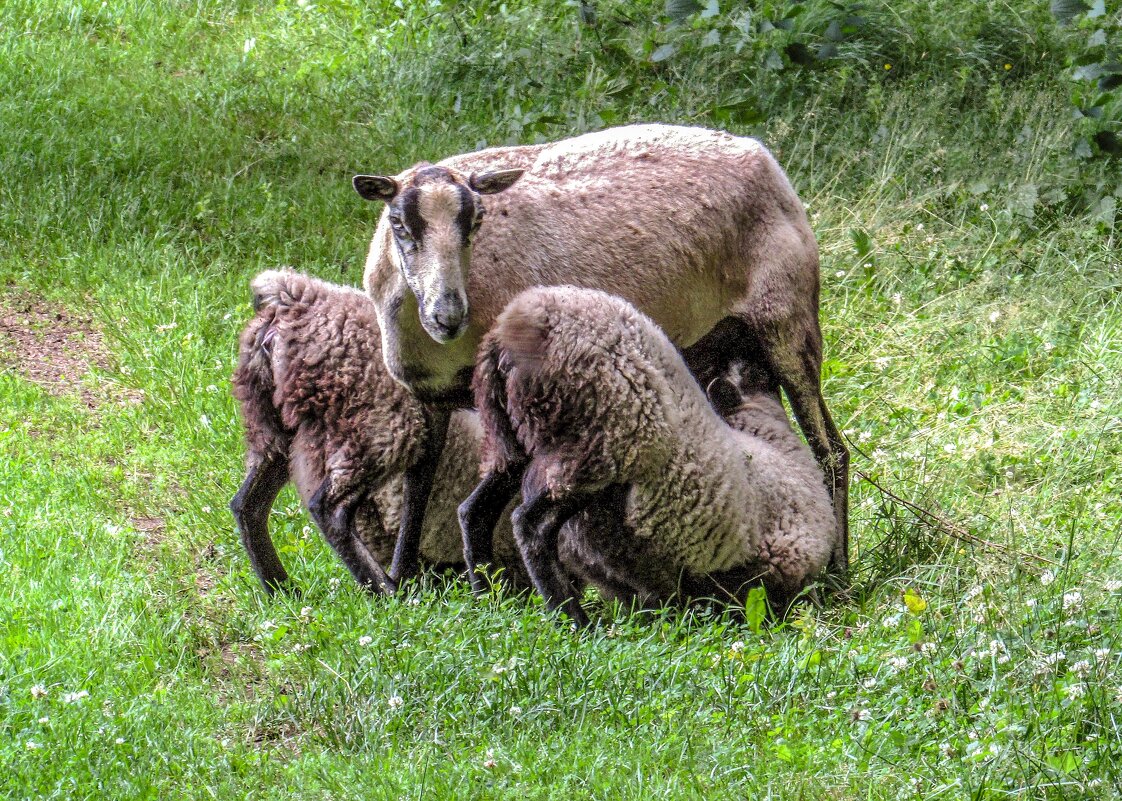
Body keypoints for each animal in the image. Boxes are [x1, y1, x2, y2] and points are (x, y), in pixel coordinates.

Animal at [230, 268, 527, 592]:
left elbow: (421, 488)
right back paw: (386, 591)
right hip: (381, 426)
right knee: (328, 508)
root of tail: (295, 298)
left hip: (271, 429)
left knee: (247, 505)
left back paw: (283, 590)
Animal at [354, 120, 843, 578]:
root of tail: (759, 155)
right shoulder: (428, 397)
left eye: (475, 223)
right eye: (399, 224)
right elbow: (417, 489)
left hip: (787, 320)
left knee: (832, 450)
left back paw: (837, 574)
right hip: (716, 345)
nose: (448, 314)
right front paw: (401, 579)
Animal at [460, 284, 839, 623]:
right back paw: (574, 621)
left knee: (474, 511)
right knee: (530, 525)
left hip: (512, 442)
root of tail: (514, 325)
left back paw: (488, 600)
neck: (770, 441)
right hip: (602, 447)